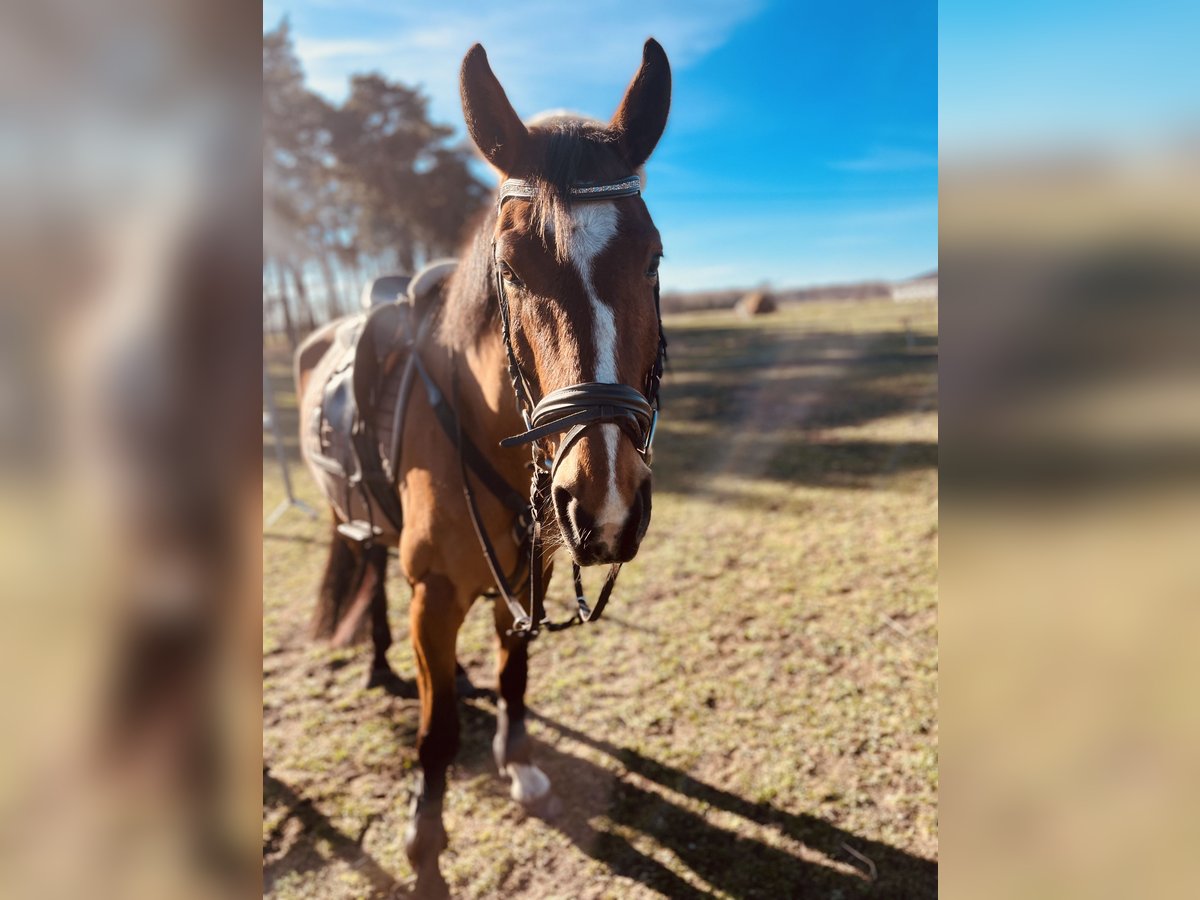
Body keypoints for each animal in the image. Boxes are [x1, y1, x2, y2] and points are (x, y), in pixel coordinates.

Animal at [291, 40, 672, 897]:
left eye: (653, 257)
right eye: (514, 265)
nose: (604, 502)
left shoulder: (526, 569)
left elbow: (515, 670)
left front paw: (519, 766)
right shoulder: (434, 593)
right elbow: (433, 737)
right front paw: (425, 854)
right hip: (350, 520)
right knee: (371, 579)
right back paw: (382, 667)